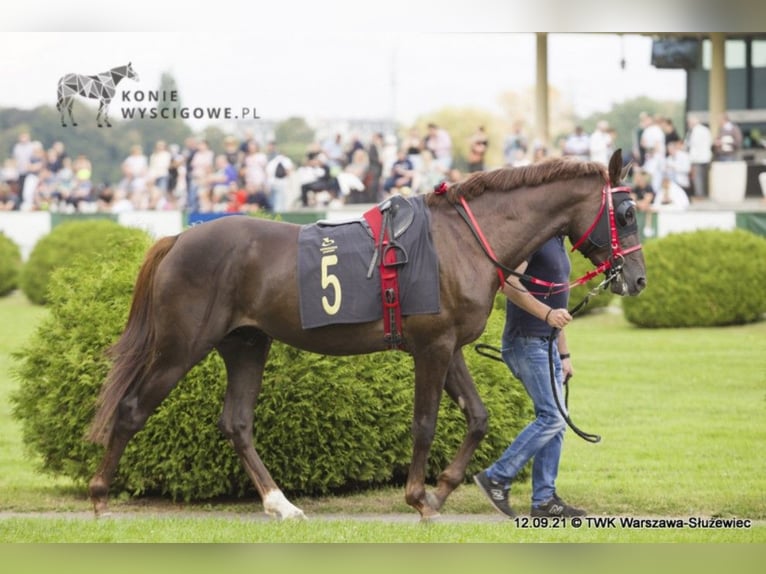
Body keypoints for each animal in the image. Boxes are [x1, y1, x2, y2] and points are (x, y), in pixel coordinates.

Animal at [85, 150, 648, 520]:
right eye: (627, 213)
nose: (638, 279)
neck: (464, 240)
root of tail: (178, 238)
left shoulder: (451, 347)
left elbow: (478, 417)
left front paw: (443, 490)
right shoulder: (431, 347)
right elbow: (424, 423)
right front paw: (420, 497)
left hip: (246, 343)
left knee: (237, 423)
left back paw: (281, 504)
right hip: (180, 346)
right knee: (131, 409)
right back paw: (99, 493)